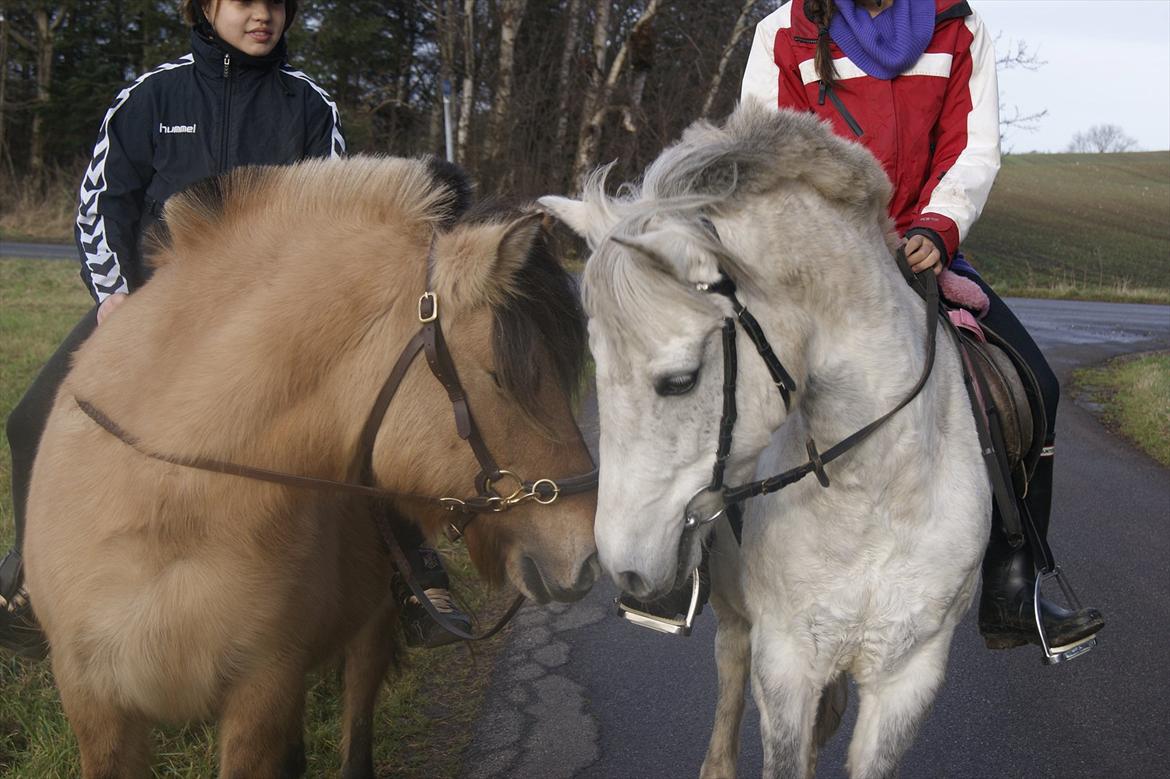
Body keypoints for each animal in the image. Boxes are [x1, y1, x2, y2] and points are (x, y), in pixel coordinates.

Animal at [542, 104, 992, 776]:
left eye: (680, 381)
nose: (624, 569)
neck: (876, 491)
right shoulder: (785, 664)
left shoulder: (909, 678)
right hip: (738, 618)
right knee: (731, 671)